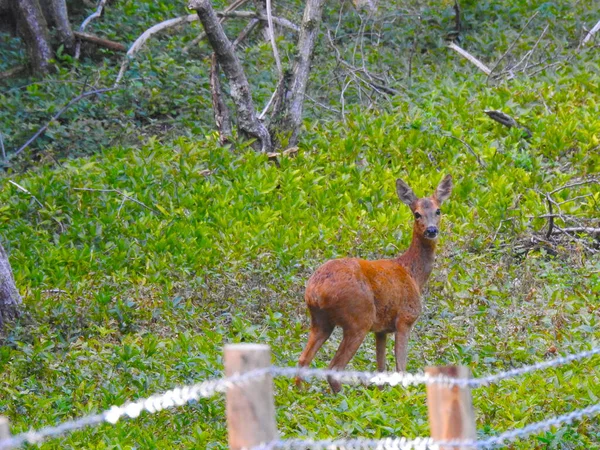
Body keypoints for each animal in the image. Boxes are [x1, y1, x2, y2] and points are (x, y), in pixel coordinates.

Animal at [298, 174, 452, 392]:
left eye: (438, 210)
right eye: (417, 214)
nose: (431, 230)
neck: (412, 274)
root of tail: (315, 291)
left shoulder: (381, 329)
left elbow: (381, 369)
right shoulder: (405, 318)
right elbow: (400, 368)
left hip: (320, 320)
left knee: (303, 360)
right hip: (358, 318)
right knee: (333, 367)